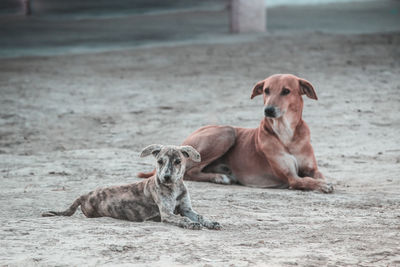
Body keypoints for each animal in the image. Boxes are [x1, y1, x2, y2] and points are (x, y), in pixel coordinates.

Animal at [43, 144, 222, 230]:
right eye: (160, 161)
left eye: (178, 161)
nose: (166, 177)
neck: (174, 187)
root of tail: (85, 195)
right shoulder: (167, 213)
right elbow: (183, 219)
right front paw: (191, 224)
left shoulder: (186, 209)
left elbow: (200, 216)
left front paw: (211, 222)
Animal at [139, 74, 332, 194]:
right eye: (266, 90)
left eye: (286, 91)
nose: (268, 110)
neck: (287, 134)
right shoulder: (290, 177)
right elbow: (304, 181)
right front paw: (322, 186)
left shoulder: (312, 169)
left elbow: (319, 176)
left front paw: (323, 182)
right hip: (227, 132)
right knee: (188, 171)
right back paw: (219, 177)